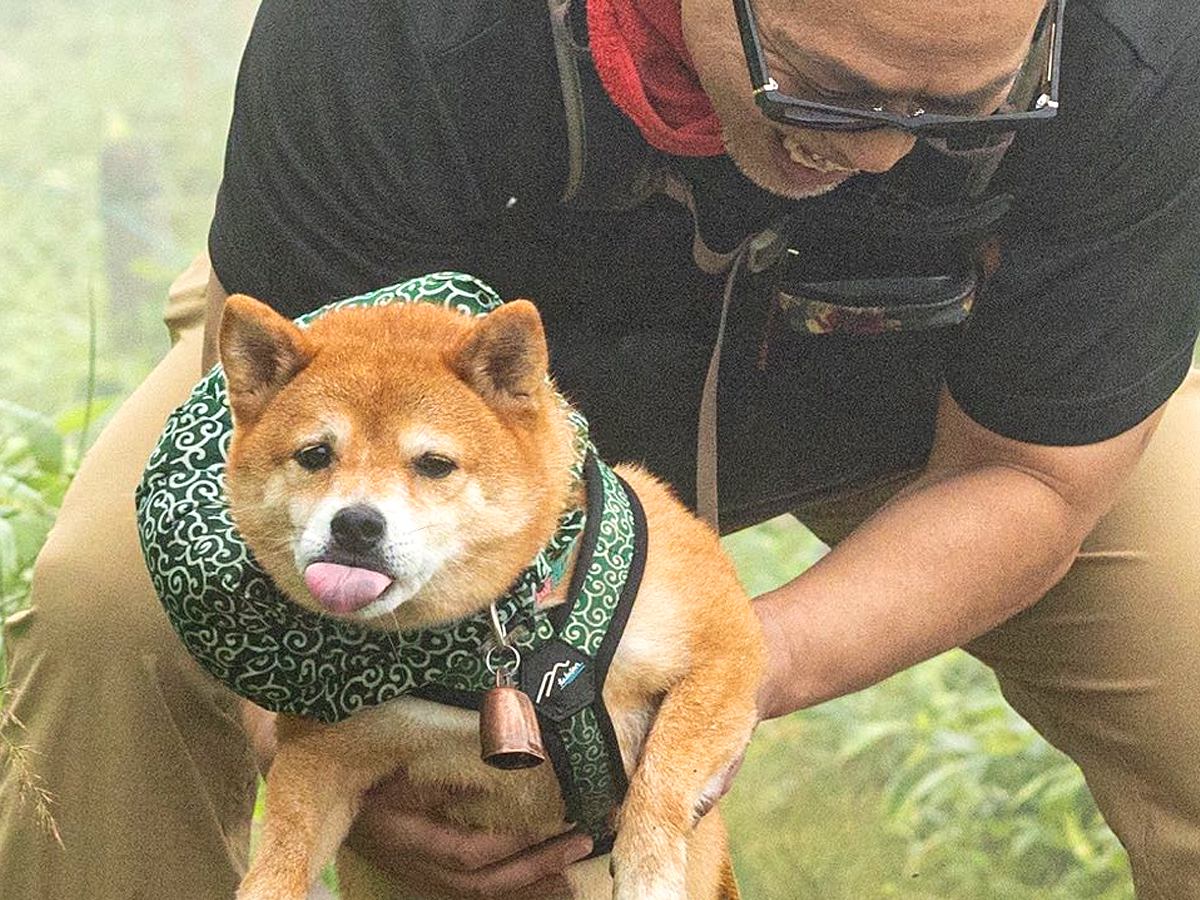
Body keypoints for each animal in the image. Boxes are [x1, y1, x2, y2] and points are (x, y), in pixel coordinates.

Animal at [220, 292, 763, 897]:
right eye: (315, 454)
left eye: (434, 464)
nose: (356, 524)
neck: (506, 629)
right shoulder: (320, 753)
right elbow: (283, 853)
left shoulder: (725, 647)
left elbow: (664, 771)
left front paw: (649, 869)